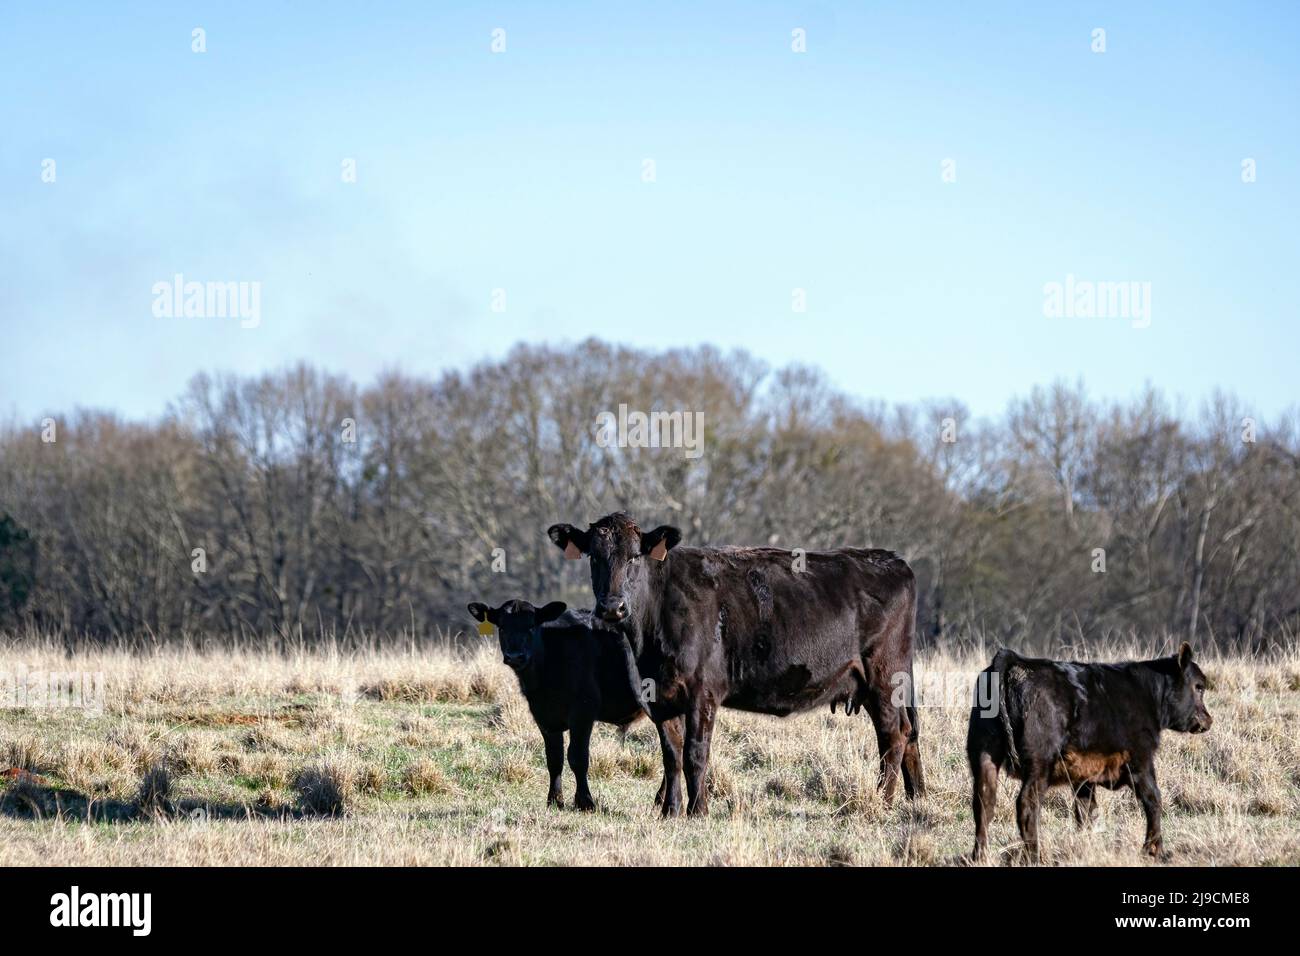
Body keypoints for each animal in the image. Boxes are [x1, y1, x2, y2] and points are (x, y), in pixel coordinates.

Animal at [467, 598, 675, 810]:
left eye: (531, 626)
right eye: (501, 627)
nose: (515, 656)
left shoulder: (583, 712)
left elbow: (578, 757)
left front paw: (585, 801)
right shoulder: (543, 716)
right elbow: (554, 758)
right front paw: (554, 799)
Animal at [547, 512, 925, 817]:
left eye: (635, 555)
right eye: (594, 557)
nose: (612, 607)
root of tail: (890, 559)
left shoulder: (702, 691)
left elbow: (696, 753)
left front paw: (698, 811)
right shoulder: (660, 696)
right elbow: (671, 755)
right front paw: (670, 811)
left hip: (884, 676)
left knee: (893, 734)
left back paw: (881, 802)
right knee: (907, 734)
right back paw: (913, 797)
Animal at [967, 643, 1213, 862]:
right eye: (1199, 686)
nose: (1208, 720)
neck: (1147, 694)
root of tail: (1014, 659)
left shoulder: (1084, 774)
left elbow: (1086, 811)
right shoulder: (1140, 759)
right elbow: (1153, 799)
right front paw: (1154, 850)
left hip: (984, 755)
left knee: (984, 802)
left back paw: (980, 856)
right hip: (1039, 761)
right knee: (1027, 803)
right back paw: (1034, 856)